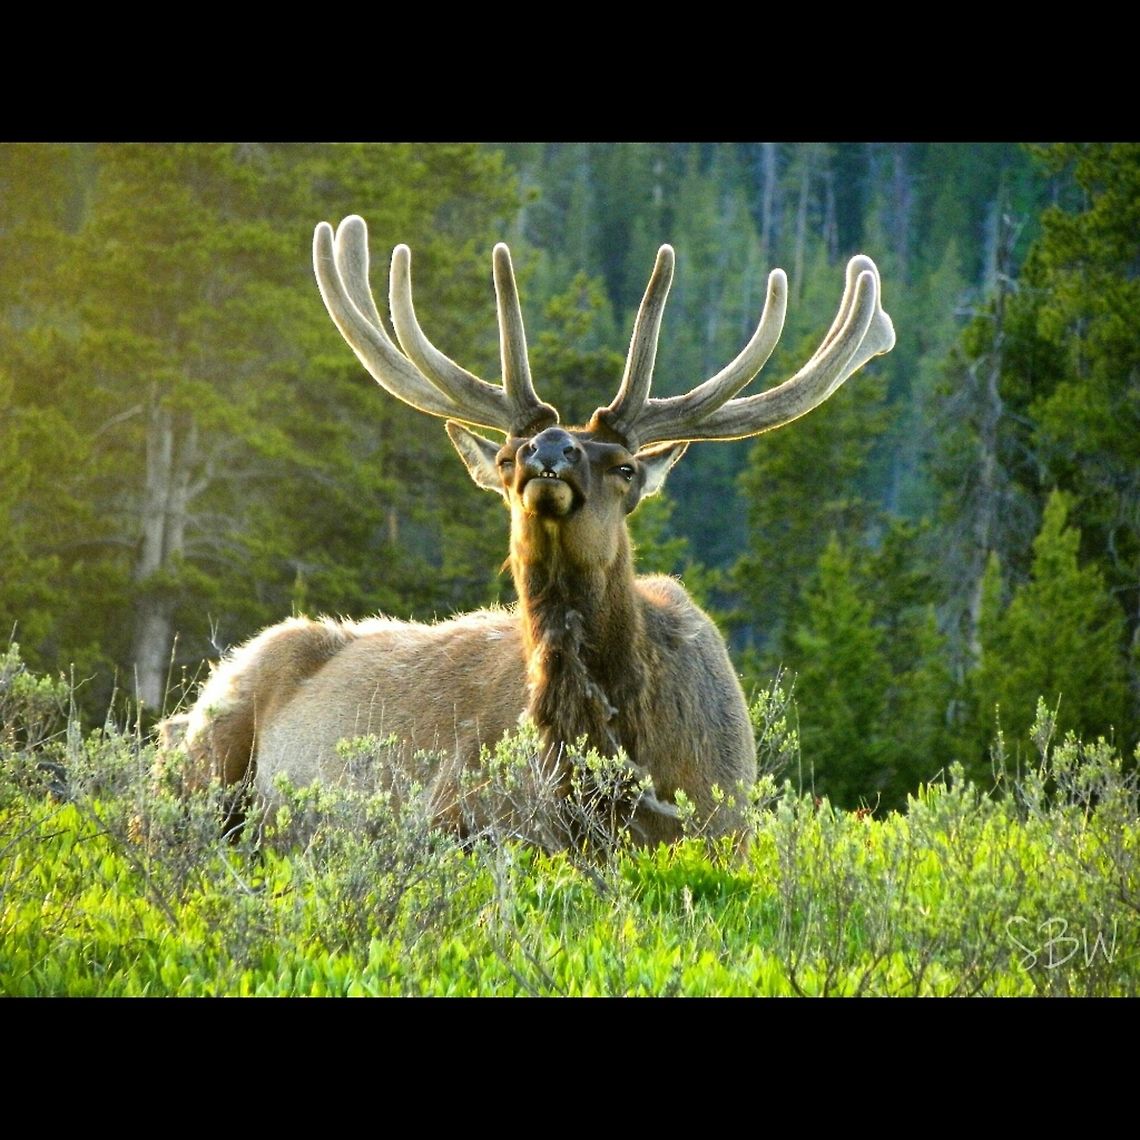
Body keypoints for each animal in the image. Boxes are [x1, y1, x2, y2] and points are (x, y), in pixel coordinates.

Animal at [157, 214, 894, 849]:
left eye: (624, 466)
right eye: (510, 458)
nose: (549, 448)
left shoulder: (727, 825)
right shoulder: (466, 816)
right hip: (203, 762)